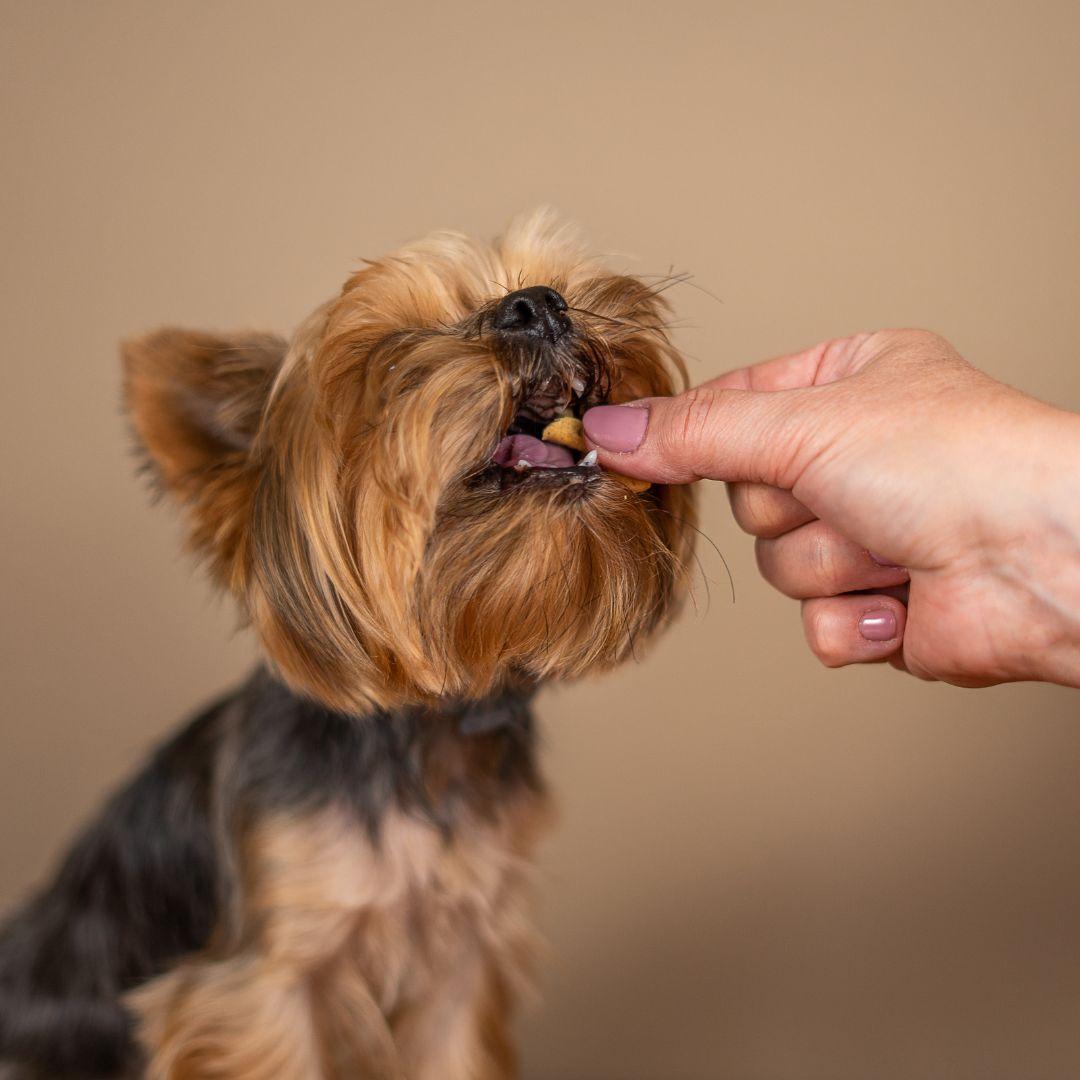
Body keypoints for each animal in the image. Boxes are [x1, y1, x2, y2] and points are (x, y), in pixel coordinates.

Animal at [0, 212, 695, 1080]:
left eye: (555, 285)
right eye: (392, 358)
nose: (537, 304)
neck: (423, 734)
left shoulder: (458, 964)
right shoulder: (261, 986)